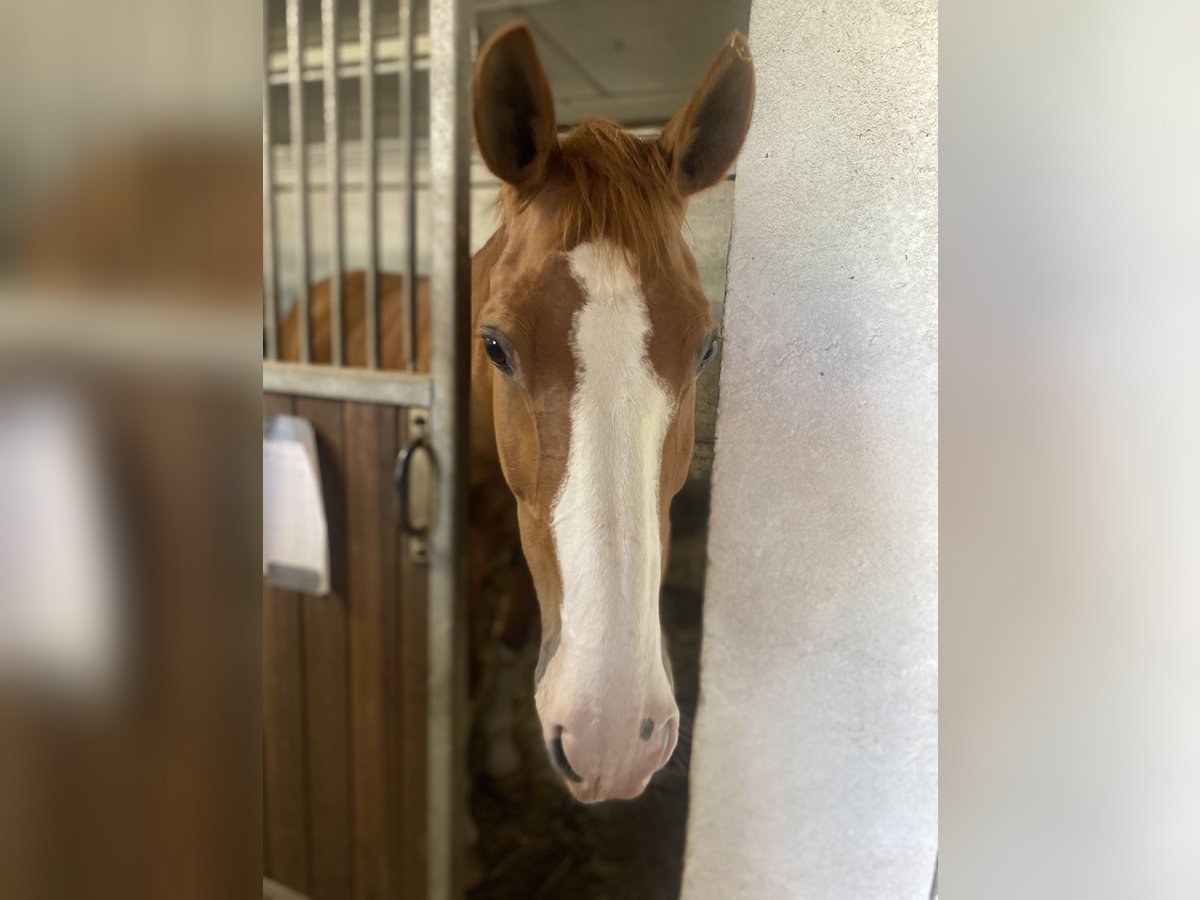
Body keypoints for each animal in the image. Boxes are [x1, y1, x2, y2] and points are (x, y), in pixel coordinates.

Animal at [282, 21, 753, 801]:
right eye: (496, 344)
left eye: (708, 346)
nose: (614, 739)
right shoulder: (471, 537)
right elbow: (467, 661)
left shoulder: (525, 538)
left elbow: (504, 648)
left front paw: (501, 752)